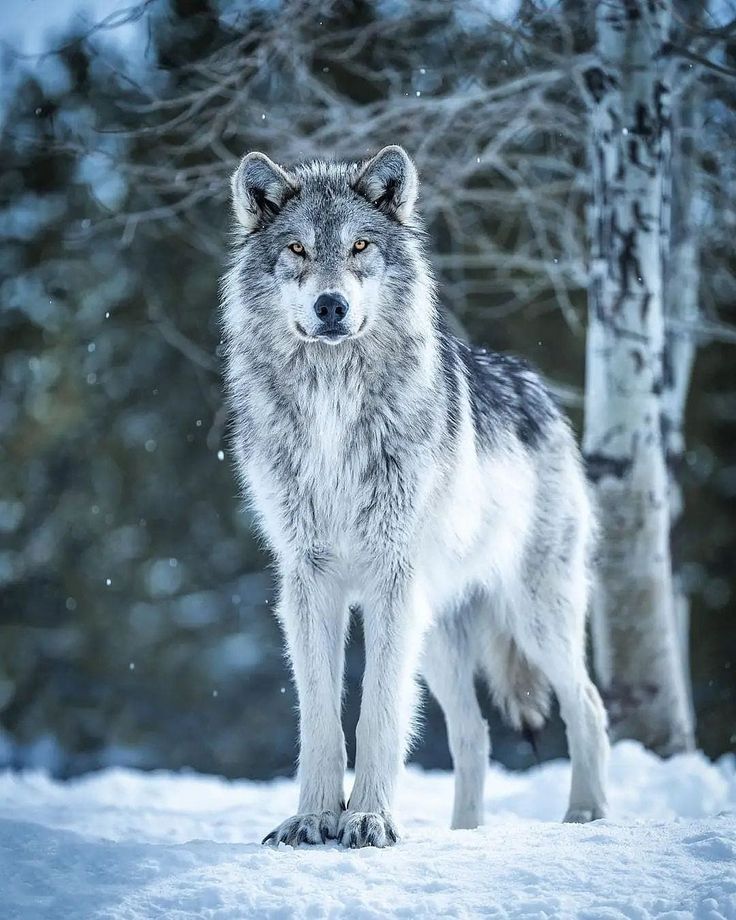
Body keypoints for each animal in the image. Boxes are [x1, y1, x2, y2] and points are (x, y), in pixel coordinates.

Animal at [220, 146, 608, 848]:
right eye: (296, 248)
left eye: (360, 245)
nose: (331, 306)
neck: (333, 410)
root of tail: (541, 391)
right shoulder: (307, 580)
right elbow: (320, 716)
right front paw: (312, 818)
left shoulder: (390, 579)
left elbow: (377, 713)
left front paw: (369, 818)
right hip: (438, 636)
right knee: (474, 733)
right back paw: (465, 835)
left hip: (532, 614)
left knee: (587, 706)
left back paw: (585, 816)